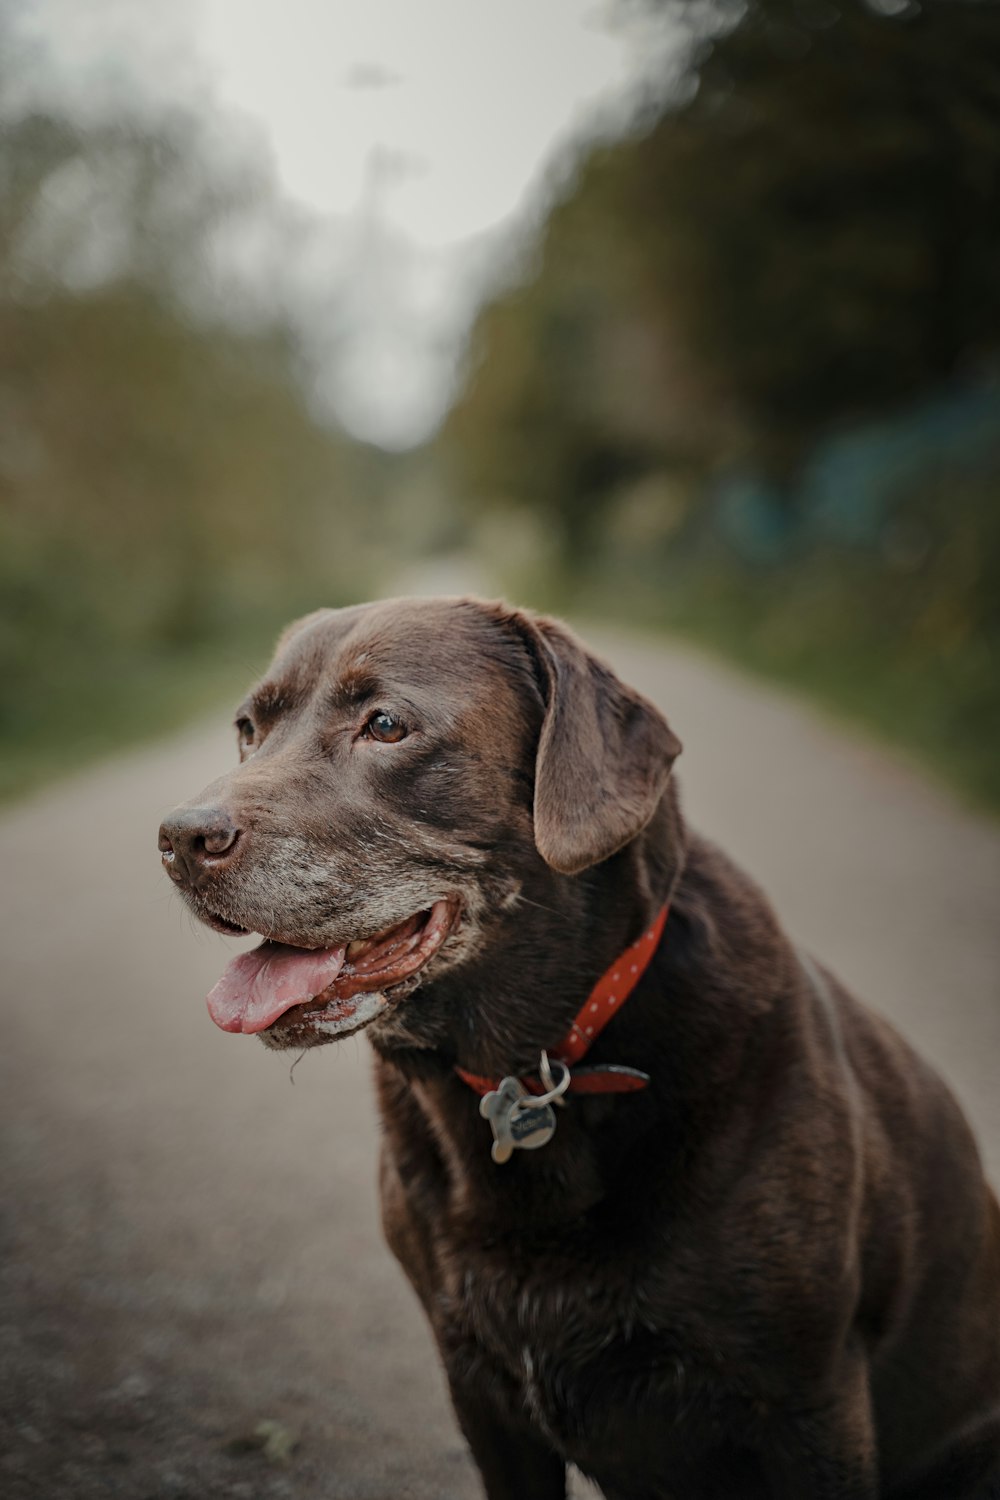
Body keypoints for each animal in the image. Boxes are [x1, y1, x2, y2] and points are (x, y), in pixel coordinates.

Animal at [160, 597, 1000, 1500]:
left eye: (385, 724)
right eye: (248, 729)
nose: (177, 839)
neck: (531, 1068)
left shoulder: (808, 1404)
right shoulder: (479, 1391)